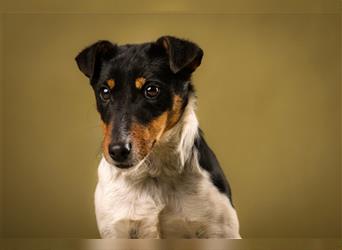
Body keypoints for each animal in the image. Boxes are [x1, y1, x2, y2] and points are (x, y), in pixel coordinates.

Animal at [75, 35, 240, 238]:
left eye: (151, 90)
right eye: (104, 92)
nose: (117, 151)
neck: (153, 174)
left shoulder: (220, 230)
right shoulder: (115, 230)